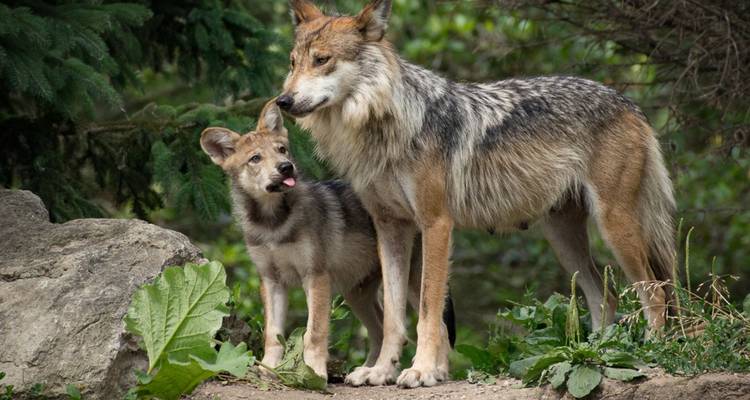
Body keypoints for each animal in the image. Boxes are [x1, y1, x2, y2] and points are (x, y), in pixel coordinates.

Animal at [200, 101, 455, 381]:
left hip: (411, 284)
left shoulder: (316, 276)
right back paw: (368, 371)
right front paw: (269, 368)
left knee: (437, 326)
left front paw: (314, 372)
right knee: (382, 331)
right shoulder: (271, 280)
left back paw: (434, 372)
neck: (273, 224)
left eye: (281, 150)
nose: (286, 167)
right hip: (358, 294)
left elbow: (314, 333)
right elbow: (273, 335)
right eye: (255, 158)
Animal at [278, 0, 676, 389]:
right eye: (293, 63)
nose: (283, 100)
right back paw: (599, 352)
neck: (385, 126)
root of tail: (627, 102)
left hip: (613, 227)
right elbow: (393, 314)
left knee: (655, 292)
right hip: (564, 241)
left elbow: (429, 310)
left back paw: (652, 351)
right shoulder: (390, 228)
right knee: (605, 298)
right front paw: (381, 372)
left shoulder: (436, 224)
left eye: (322, 60)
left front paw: (422, 371)